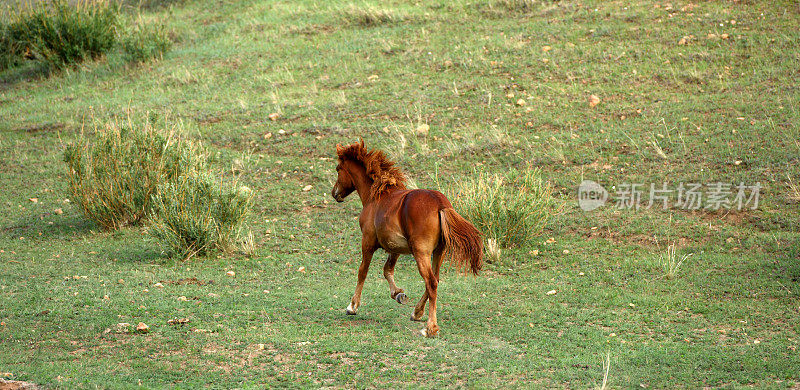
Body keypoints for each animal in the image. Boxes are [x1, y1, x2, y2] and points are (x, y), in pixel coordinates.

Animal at [330, 141, 482, 338]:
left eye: (338, 168)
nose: (335, 193)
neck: (376, 196)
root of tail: (441, 204)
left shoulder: (368, 242)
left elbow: (362, 272)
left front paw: (352, 306)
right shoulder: (394, 247)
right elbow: (387, 270)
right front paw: (398, 294)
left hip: (421, 252)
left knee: (431, 282)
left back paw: (430, 328)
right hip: (438, 252)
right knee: (435, 280)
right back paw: (417, 313)